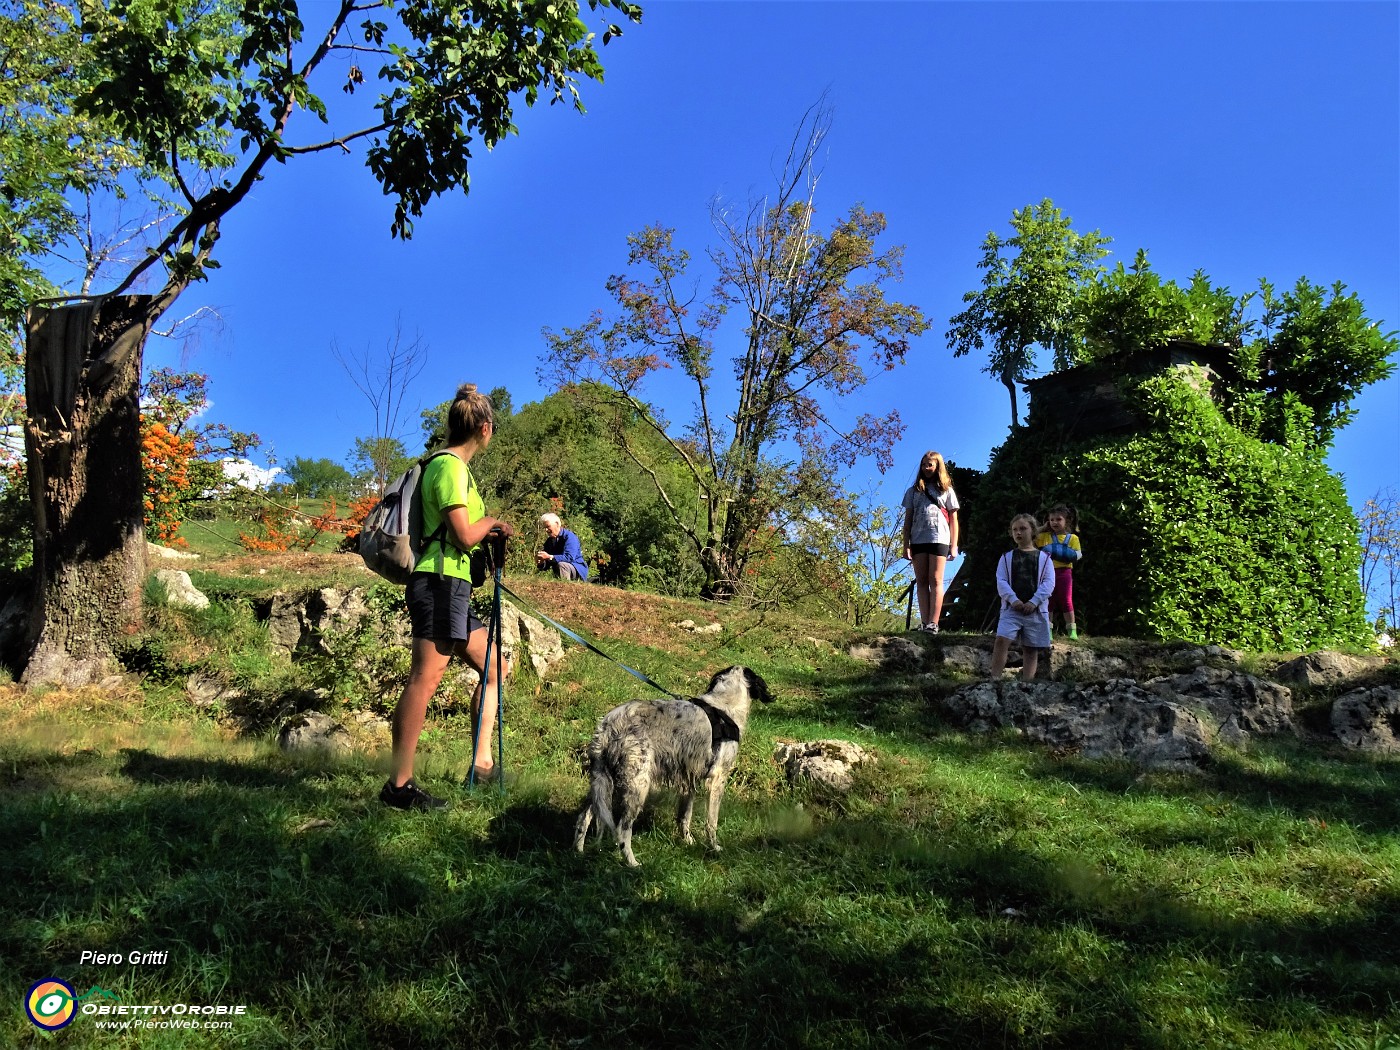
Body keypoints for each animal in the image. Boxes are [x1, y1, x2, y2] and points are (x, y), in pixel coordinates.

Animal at [571, 669, 778, 868]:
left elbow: (684, 817)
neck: (724, 705)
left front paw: (688, 841)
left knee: (583, 817)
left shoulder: (690, 781)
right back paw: (632, 863)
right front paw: (714, 847)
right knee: (622, 831)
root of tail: (608, 725)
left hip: (603, 784)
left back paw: (578, 852)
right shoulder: (717, 779)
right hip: (637, 787)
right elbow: (711, 822)